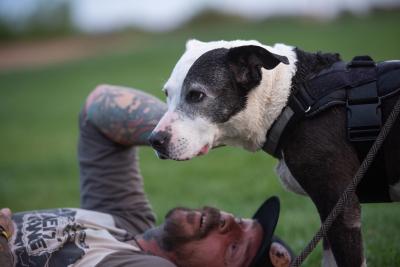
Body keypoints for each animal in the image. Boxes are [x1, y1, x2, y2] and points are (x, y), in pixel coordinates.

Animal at [148, 40, 400, 267]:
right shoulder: (329, 212)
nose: (154, 140)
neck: (288, 98)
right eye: (166, 94)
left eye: (196, 95)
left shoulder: (340, 206)